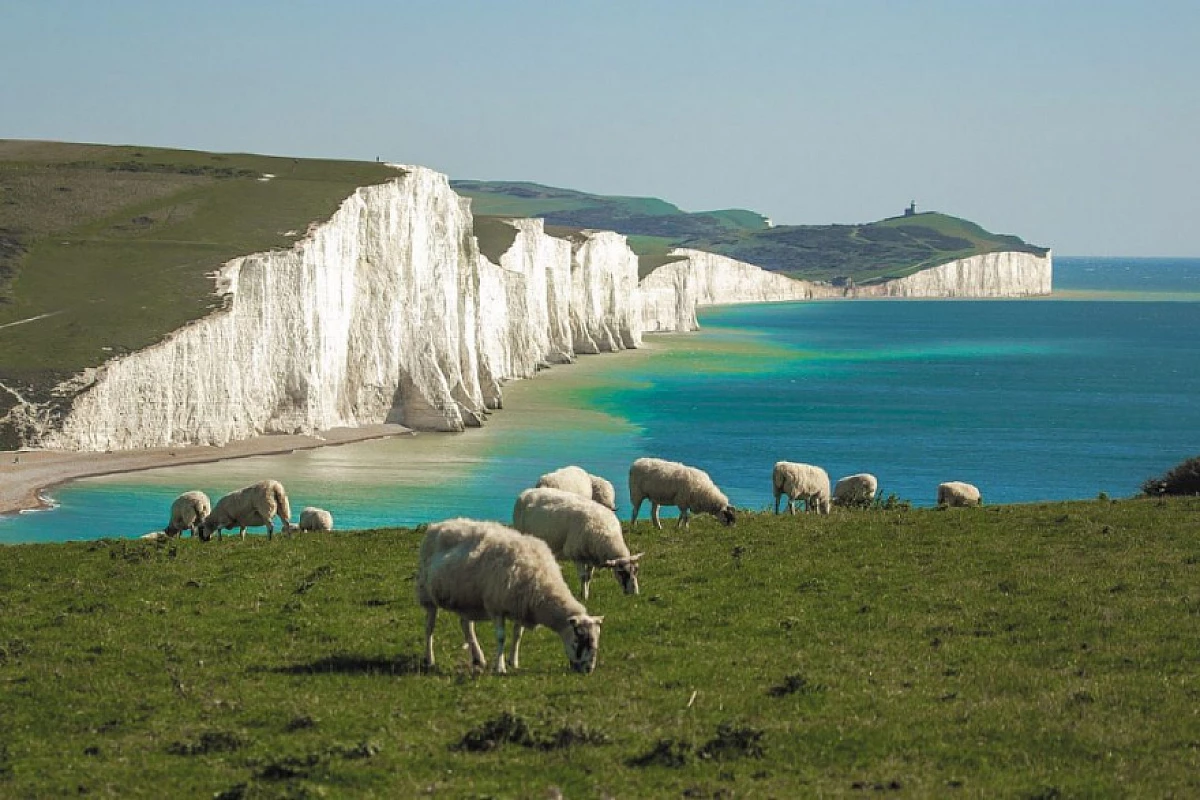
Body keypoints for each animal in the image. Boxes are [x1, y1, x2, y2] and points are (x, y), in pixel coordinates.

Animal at [417, 520, 604, 676]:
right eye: (578, 640)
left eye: (596, 640)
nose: (588, 670)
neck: (542, 583)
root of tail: (438, 525)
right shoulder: (496, 607)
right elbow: (501, 637)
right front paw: (500, 667)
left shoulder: (520, 606)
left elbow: (517, 634)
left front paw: (513, 661)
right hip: (426, 594)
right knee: (429, 628)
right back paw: (429, 659)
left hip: (467, 599)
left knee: (466, 626)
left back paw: (478, 658)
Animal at [516, 489, 648, 599]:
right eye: (622, 572)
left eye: (636, 570)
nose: (635, 593)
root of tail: (527, 491)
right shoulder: (577, 555)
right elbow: (583, 577)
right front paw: (584, 597)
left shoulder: (591, 558)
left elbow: (588, 577)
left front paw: (585, 594)